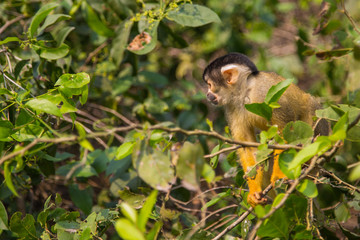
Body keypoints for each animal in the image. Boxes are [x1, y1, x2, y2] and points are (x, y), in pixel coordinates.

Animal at [204, 53, 328, 206]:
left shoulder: (267, 93)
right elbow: (248, 146)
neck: (245, 92)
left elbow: (284, 133)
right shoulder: (232, 106)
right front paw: (254, 192)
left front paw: (279, 176)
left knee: (310, 106)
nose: (207, 94)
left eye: (210, 85)